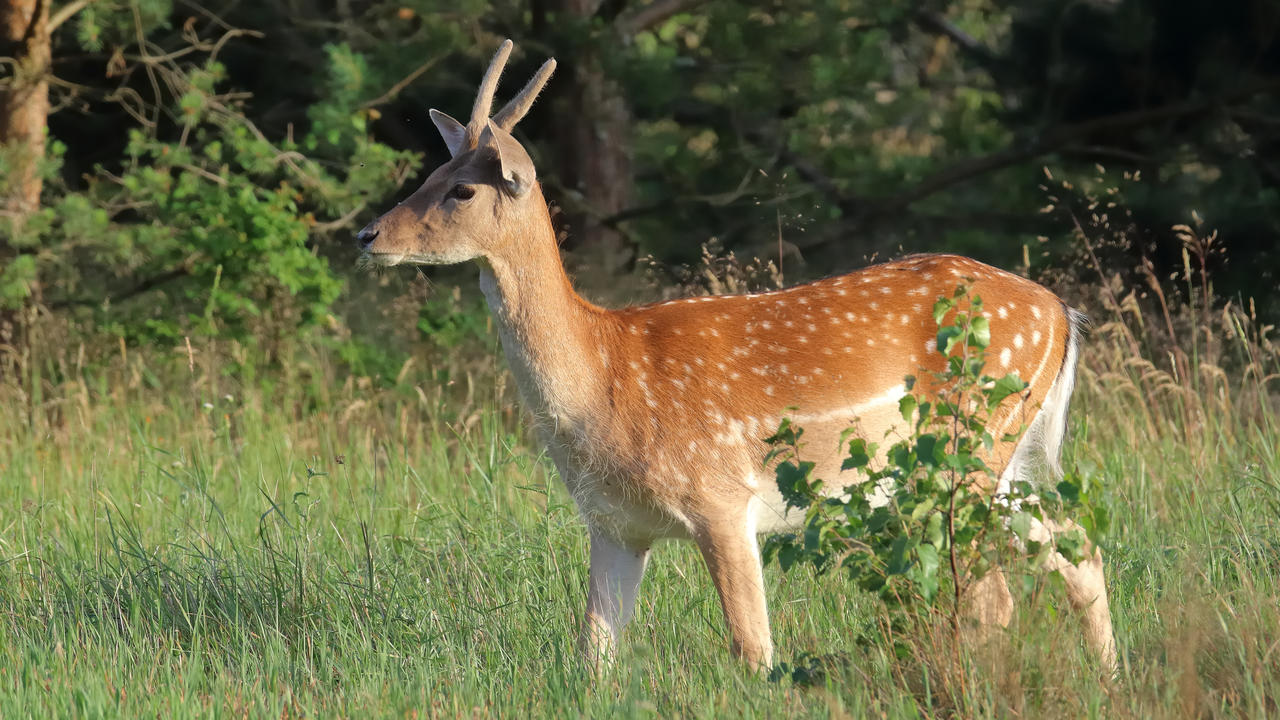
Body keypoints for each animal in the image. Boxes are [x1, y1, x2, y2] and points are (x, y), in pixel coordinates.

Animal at [355, 37, 1116, 666]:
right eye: (426, 176)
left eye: (461, 189)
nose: (368, 234)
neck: (605, 379)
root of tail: (1060, 311)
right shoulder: (614, 524)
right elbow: (593, 656)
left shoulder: (721, 496)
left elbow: (752, 648)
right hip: (1000, 459)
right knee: (1075, 549)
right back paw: (1106, 678)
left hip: (971, 447)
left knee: (996, 594)